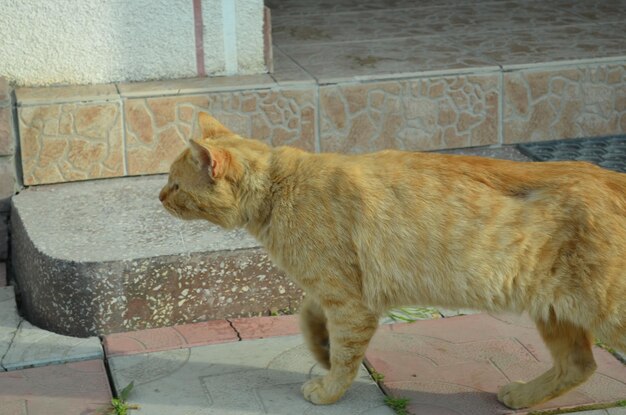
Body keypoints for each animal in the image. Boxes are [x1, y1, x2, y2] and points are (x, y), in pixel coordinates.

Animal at [160, 113, 624, 410]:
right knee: (579, 365)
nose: (160, 197)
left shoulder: (351, 303)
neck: (279, 187)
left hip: (608, 313)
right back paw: (523, 397)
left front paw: (328, 388)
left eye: (175, 184)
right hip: (555, 312)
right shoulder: (339, 291)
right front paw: (322, 352)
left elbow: (347, 355)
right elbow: (309, 318)